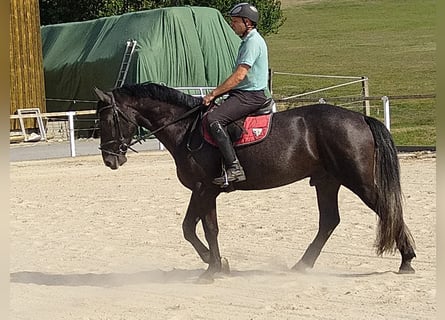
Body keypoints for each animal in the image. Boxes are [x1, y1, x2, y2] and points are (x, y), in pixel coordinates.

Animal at [94, 81, 416, 282]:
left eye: (106, 119)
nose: (110, 159)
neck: (186, 129)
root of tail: (359, 118)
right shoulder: (205, 191)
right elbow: (198, 228)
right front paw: (217, 264)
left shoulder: (204, 189)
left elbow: (199, 228)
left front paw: (212, 268)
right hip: (327, 182)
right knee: (329, 221)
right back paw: (302, 265)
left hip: (358, 180)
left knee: (387, 209)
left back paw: (407, 260)